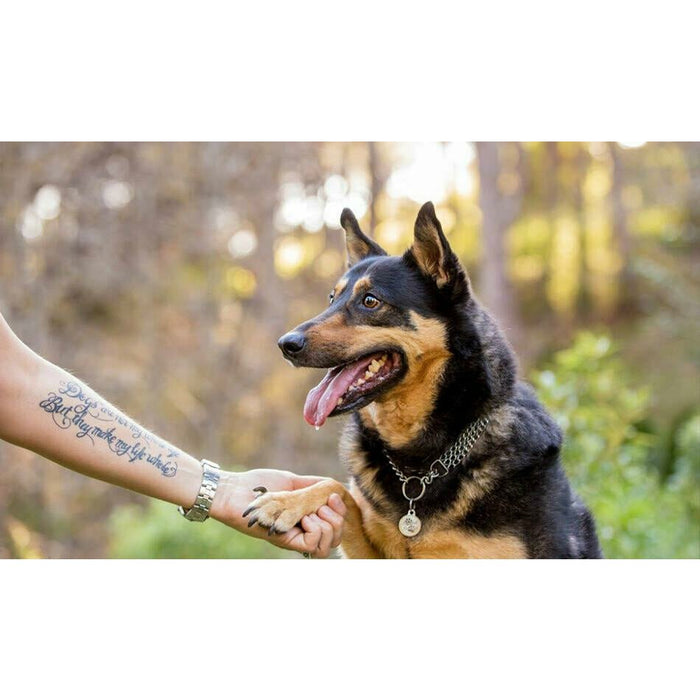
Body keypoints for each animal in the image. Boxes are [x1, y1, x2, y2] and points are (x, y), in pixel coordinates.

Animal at [242, 201, 600, 556]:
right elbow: (335, 488)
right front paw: (285, 502)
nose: (286, 345)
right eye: (332, 299)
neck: (420, 463)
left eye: (370, 301)